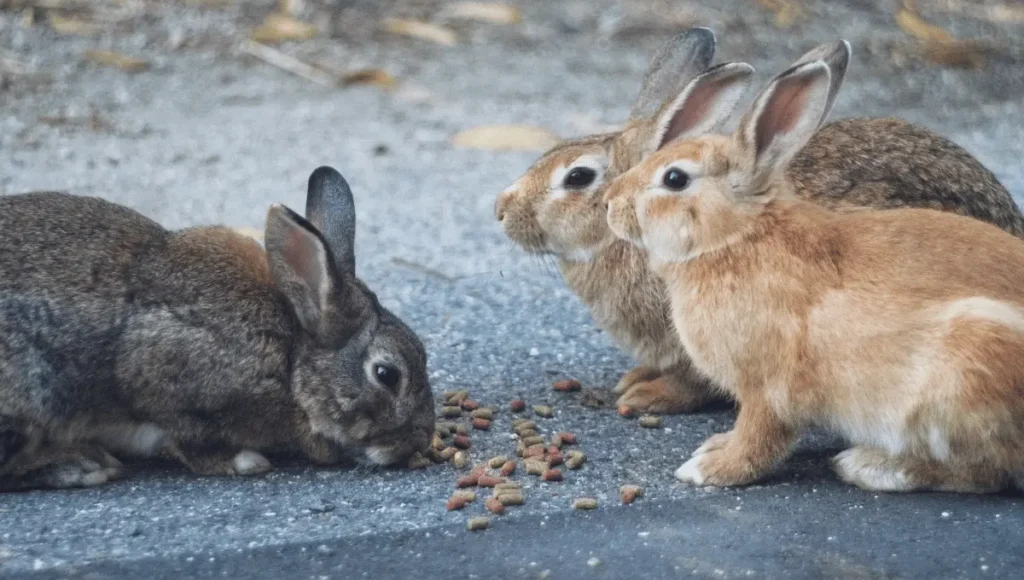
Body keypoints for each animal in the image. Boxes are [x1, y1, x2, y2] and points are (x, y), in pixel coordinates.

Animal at [0, 167, 434, 491]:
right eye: (386, 374)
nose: (421, 437)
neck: (291, 358)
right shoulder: (166, 381)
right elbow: (192, 440)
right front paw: (244, 461)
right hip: (31, 397)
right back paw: (81, 465)